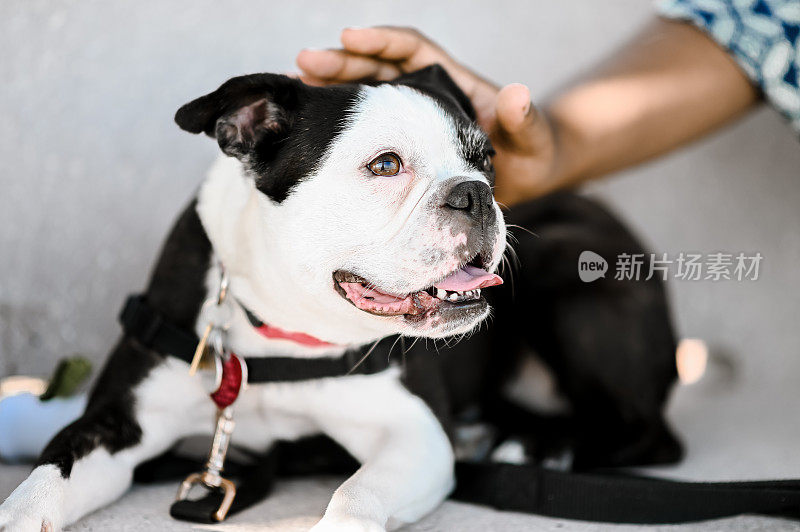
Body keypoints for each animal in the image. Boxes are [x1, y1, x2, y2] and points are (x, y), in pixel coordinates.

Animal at [0, 66, 680, 532]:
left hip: (569, 277)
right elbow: (44, 480)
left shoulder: (414, 433)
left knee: (650, 432)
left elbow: (356, 495)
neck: (281, 327)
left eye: (485, 158)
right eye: (385, 166)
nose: (476, 193)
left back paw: (541, 448)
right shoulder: (121, 421)